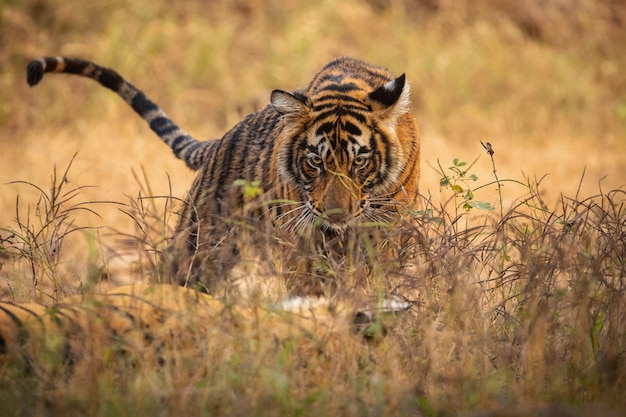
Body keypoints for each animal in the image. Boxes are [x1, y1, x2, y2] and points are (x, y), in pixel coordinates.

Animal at [28, 56, 420, 296]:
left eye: (360, 161)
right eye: (315, 162)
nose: (336, 215)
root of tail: (219, 142)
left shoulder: (388, 230)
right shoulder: (304, 238)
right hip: (196, 247)